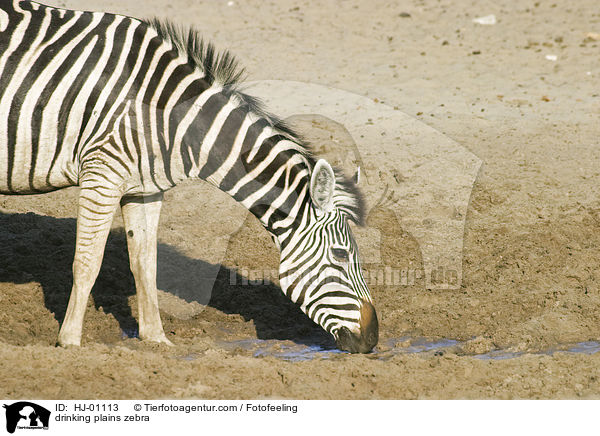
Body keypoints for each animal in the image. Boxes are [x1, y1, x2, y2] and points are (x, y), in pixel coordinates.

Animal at [1, 0, 380, 354]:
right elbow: (87, 263)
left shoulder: (144, 188)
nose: (373, 339)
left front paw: (156, 340)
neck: (169, 115)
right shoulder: (101, 174)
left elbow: (145, 264)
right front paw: (70, 343)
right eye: (341, 255)